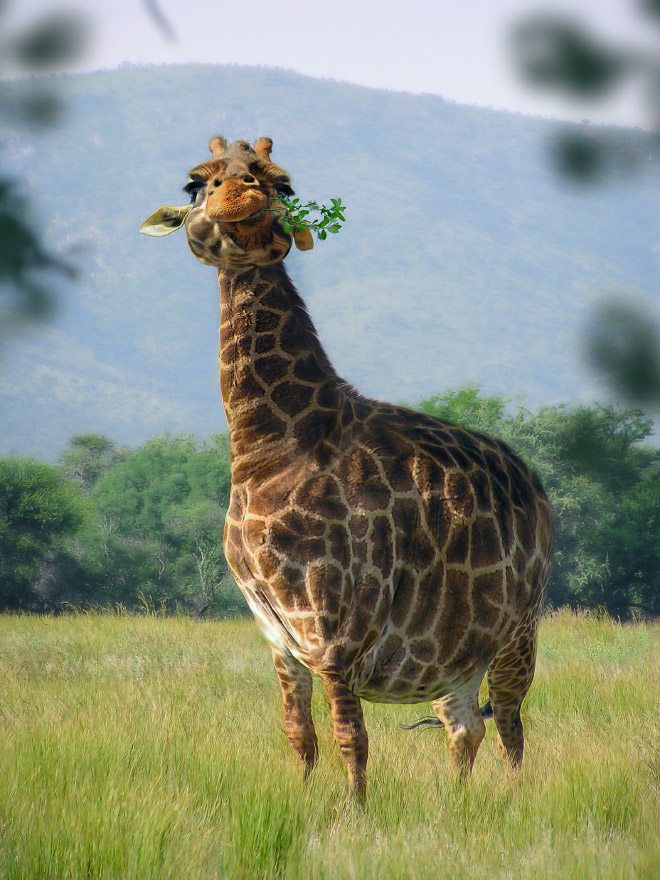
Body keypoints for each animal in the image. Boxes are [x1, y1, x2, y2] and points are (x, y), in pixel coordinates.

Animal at [141, 136, 554, 800]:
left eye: (281, 184)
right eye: (196, 182)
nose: (243, 199)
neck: (265, 447)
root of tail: (532, 482)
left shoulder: (335, 627)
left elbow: (350, 741)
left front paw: (351, 815)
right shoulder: (279, 636)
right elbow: (299, 735)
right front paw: (304, 802)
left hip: (520, 628)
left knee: (512, 723)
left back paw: (513, 800)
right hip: (456, 654)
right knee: (464, 725)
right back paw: (459, 804)